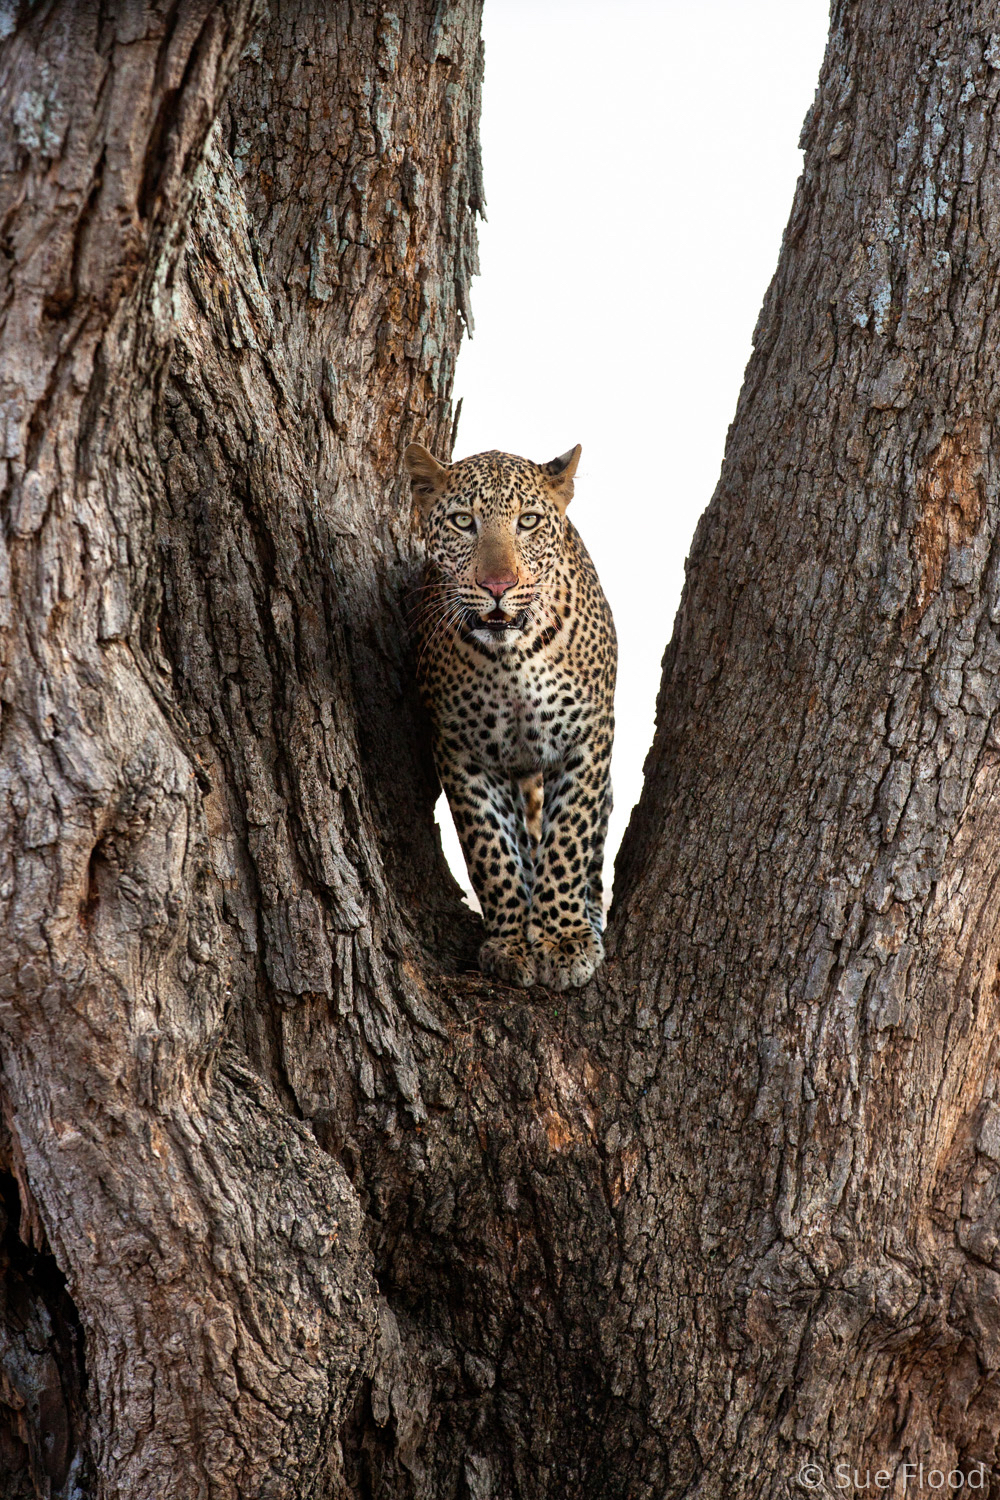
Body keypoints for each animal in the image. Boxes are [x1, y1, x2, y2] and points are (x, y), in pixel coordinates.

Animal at [404, 438, 617, 990]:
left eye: (528, 521)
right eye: (462, 522)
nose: (498, 585)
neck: (511, 658)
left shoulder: (588, 738)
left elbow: (569, 840)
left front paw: (564, 940)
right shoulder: (461, 751)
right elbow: (490, 848)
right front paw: (511, 941)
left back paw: (590, 914)